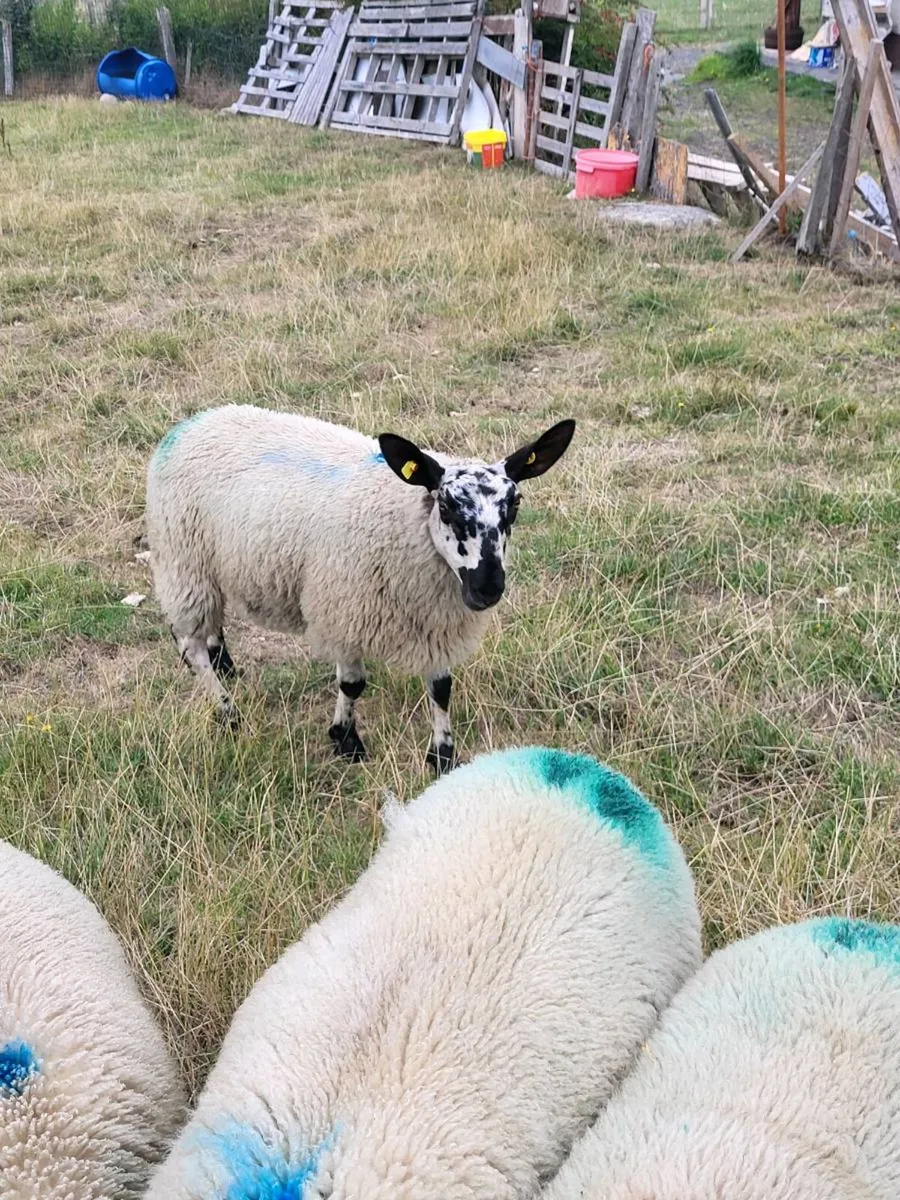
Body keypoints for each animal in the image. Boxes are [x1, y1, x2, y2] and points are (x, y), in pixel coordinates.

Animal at [145, 404, 575, 771]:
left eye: (514, 506)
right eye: (446, 507)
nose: (488, 589)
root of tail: (194, 421)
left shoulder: (434, 620)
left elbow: (441, 688)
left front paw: (443, 755)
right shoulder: (345, 611)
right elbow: (352, 685)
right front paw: (346, 740)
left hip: (211, 567)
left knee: (209, 629)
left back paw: (225, 662)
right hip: (185, 563)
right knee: (189, 645)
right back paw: (226, 709)